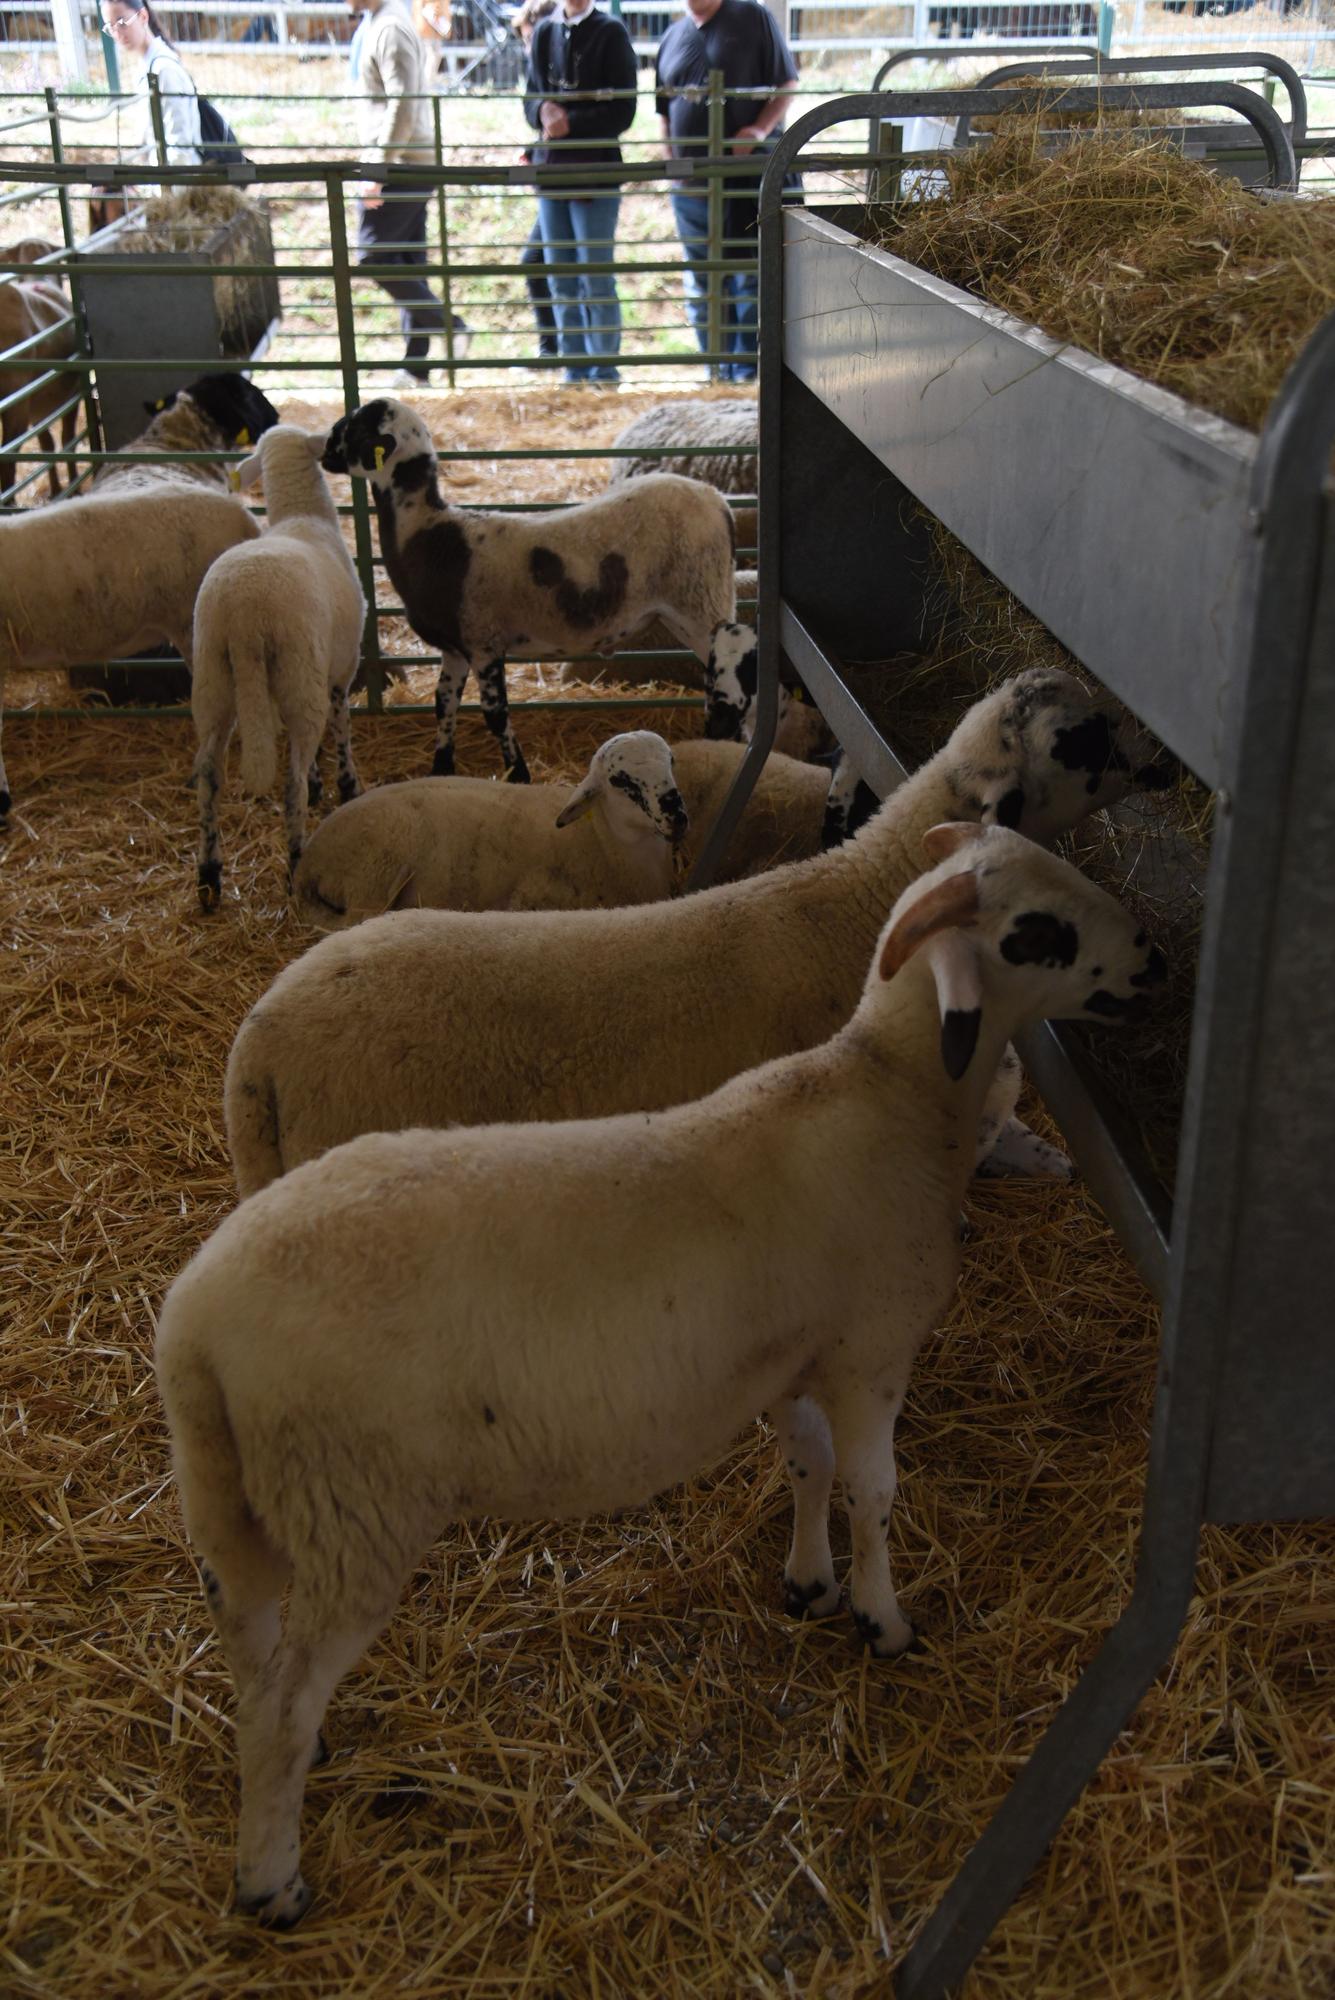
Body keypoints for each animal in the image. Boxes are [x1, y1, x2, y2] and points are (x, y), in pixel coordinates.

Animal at [153, 820, 1167, 1928]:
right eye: (1039, 931)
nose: (1155, 961)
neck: (884, 1095)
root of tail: (194, 1330)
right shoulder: (870, 1349)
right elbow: (874, 1489)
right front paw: (883, 1618)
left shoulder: (791, 1355)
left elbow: (807, 1465)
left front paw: (809, 1582)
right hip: (352, 1506)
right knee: (284, 1704)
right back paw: (272, 1880)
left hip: (233, 1502)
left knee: (253, 1654)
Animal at [291, 732, 687, 924]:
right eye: (621, 780)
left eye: (671, 761)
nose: (678, 815)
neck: (601, 839)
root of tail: (307, 865)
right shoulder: (531, 897)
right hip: (373, 875)